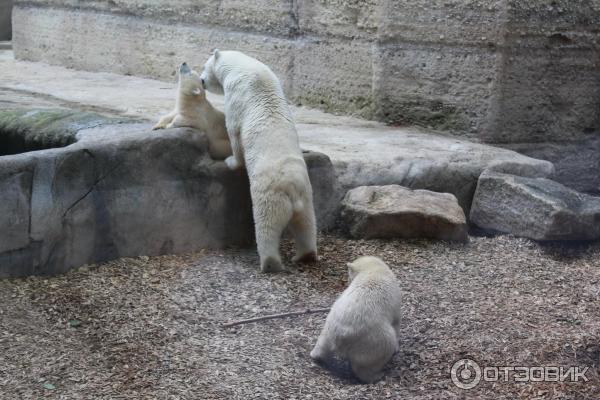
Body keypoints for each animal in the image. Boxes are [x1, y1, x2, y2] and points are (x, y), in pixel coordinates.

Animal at [200, 47, 318, 272]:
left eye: (204, 66)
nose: (201, 80)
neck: (245, 67)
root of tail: (292, 190)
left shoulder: (236, 95)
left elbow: (234, 130)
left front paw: (231, 161)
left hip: (270, 196)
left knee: (266, 227)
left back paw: (269, 262)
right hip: (307, 196)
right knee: (306, 225)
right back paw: (304, 255)